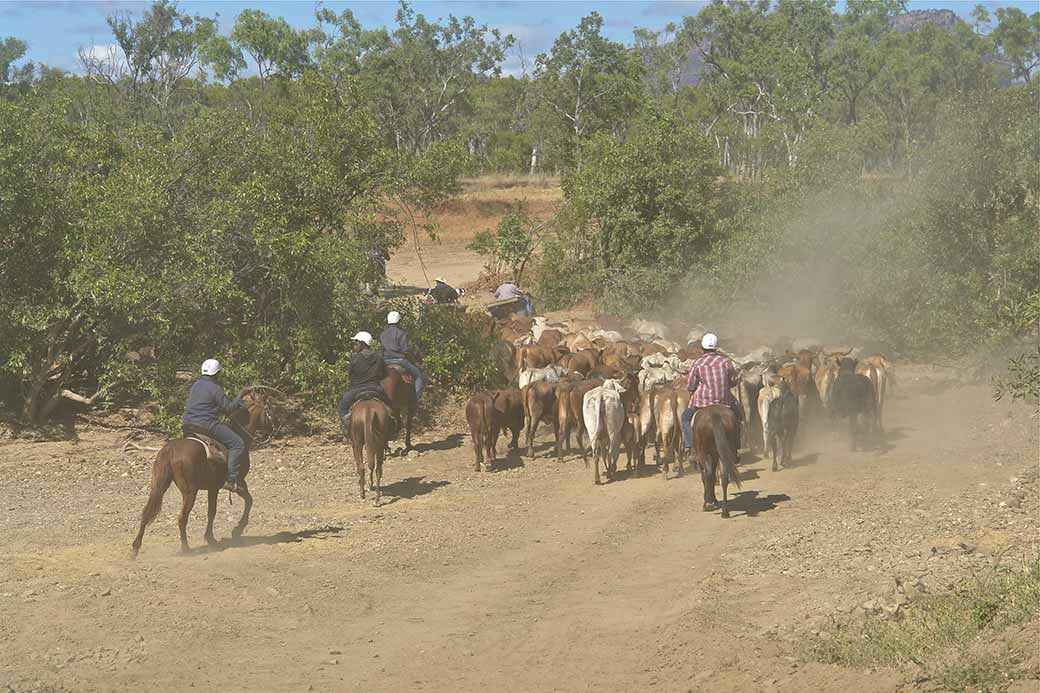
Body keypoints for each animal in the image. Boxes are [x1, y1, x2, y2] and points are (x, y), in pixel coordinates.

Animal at [130, 393, 274, 557]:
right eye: (269, 410)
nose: (274, 427)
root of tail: (170, 449)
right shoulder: (237, 483)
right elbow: (247, 501)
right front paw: (235, 531)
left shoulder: (214, 488)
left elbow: (213, 511)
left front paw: (212, 538)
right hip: (190, 491)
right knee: (182, 517)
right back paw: (186, 549)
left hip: (159, 487)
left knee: (147, 514)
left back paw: (135, 549)